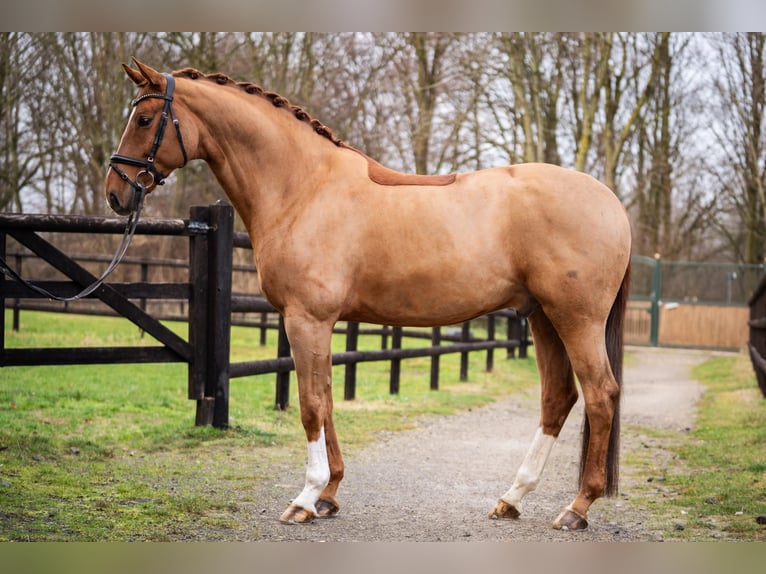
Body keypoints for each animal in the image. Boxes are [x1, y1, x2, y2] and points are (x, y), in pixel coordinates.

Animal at [105, 59, 631, 531]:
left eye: (144, 119)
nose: (116, 193)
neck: (303, 188)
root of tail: (612, 202)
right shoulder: (319, 323)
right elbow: (326, 398)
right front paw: (329, 494)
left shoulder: (306, 319)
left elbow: (311, 404)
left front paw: (305, 498)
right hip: (542, 317)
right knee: (558, 397)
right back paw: (512, 498)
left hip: (575, 319)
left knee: (601, 395)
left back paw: (576, 508)